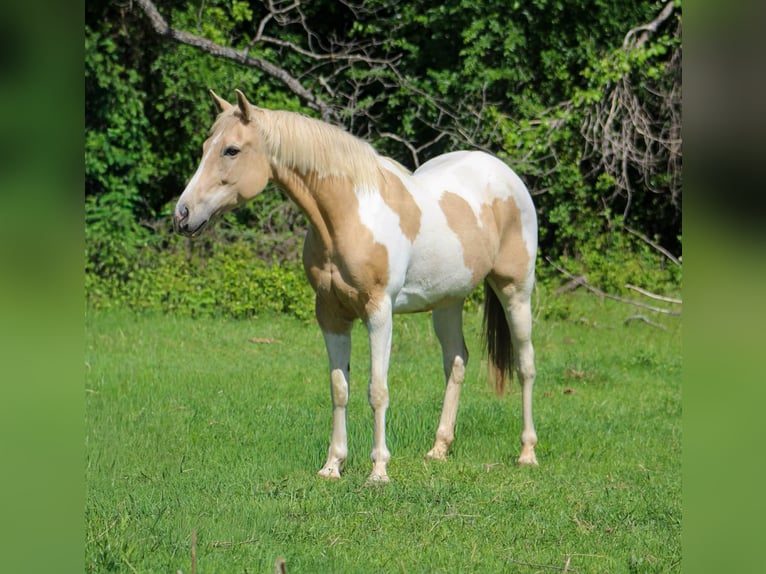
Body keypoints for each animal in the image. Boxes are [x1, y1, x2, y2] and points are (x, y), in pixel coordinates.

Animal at [174, 89, 539, 483]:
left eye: (231, 150)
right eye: (205, 146)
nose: (182, 215)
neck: (349, 216)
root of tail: (505, 175)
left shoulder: (379, 312)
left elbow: (377, 390)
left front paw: (378, 471)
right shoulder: (331, 314)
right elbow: (339, 389)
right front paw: (333, 465)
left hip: (516, 292)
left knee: (525, 365)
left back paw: (527, 453)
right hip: (447, 302)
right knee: (456, 362)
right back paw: (439, 449)